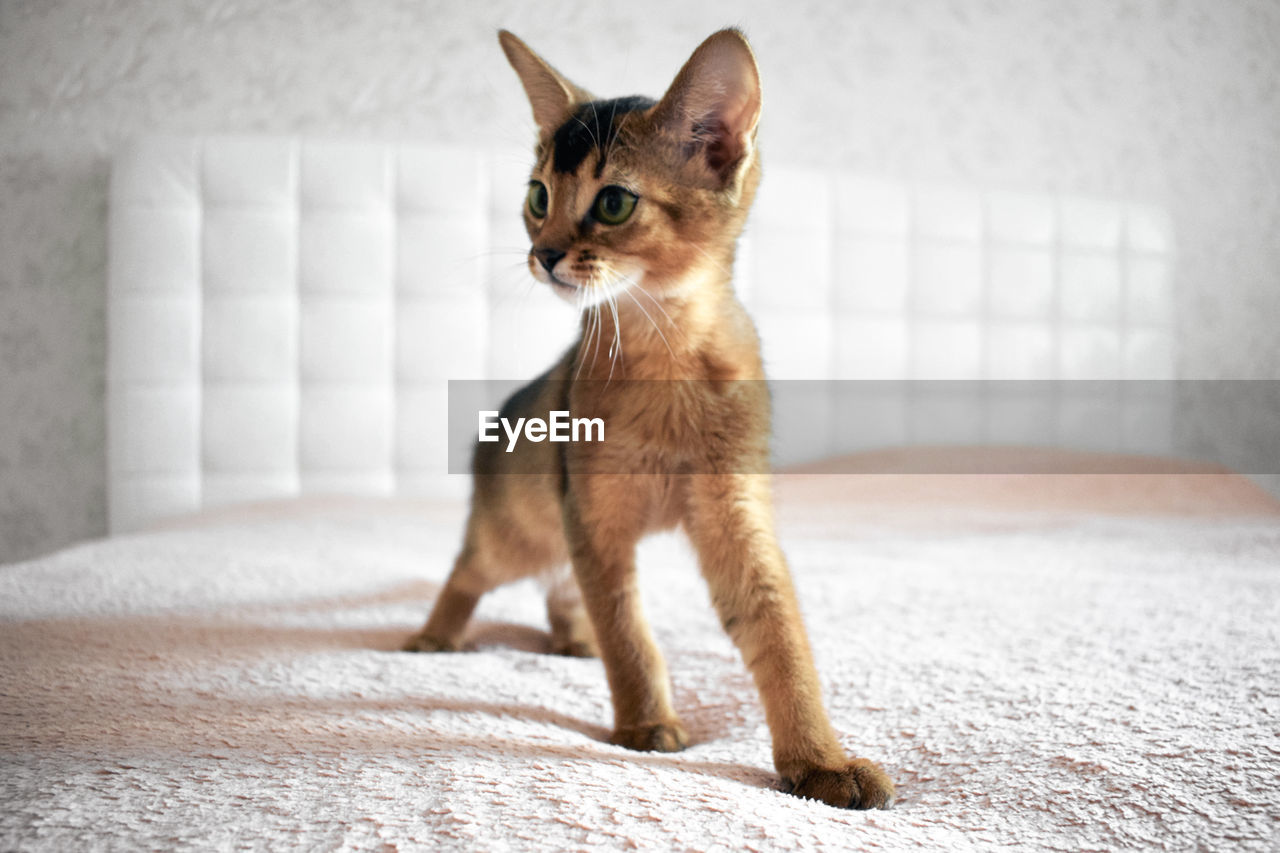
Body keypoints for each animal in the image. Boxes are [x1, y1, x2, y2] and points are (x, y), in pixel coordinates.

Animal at [404, 26, 896, 809]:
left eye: (613, 203)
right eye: (538, 195)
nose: (542, 253)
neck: (667, 355)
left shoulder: (732, 513)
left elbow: (780, 633)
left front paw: (820, 762)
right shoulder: (598, 518)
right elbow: (628, 630)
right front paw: (645, 725)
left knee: (561, 587)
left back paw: (571, 637)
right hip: (521, 528)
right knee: (470, 569)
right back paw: (436, 635)